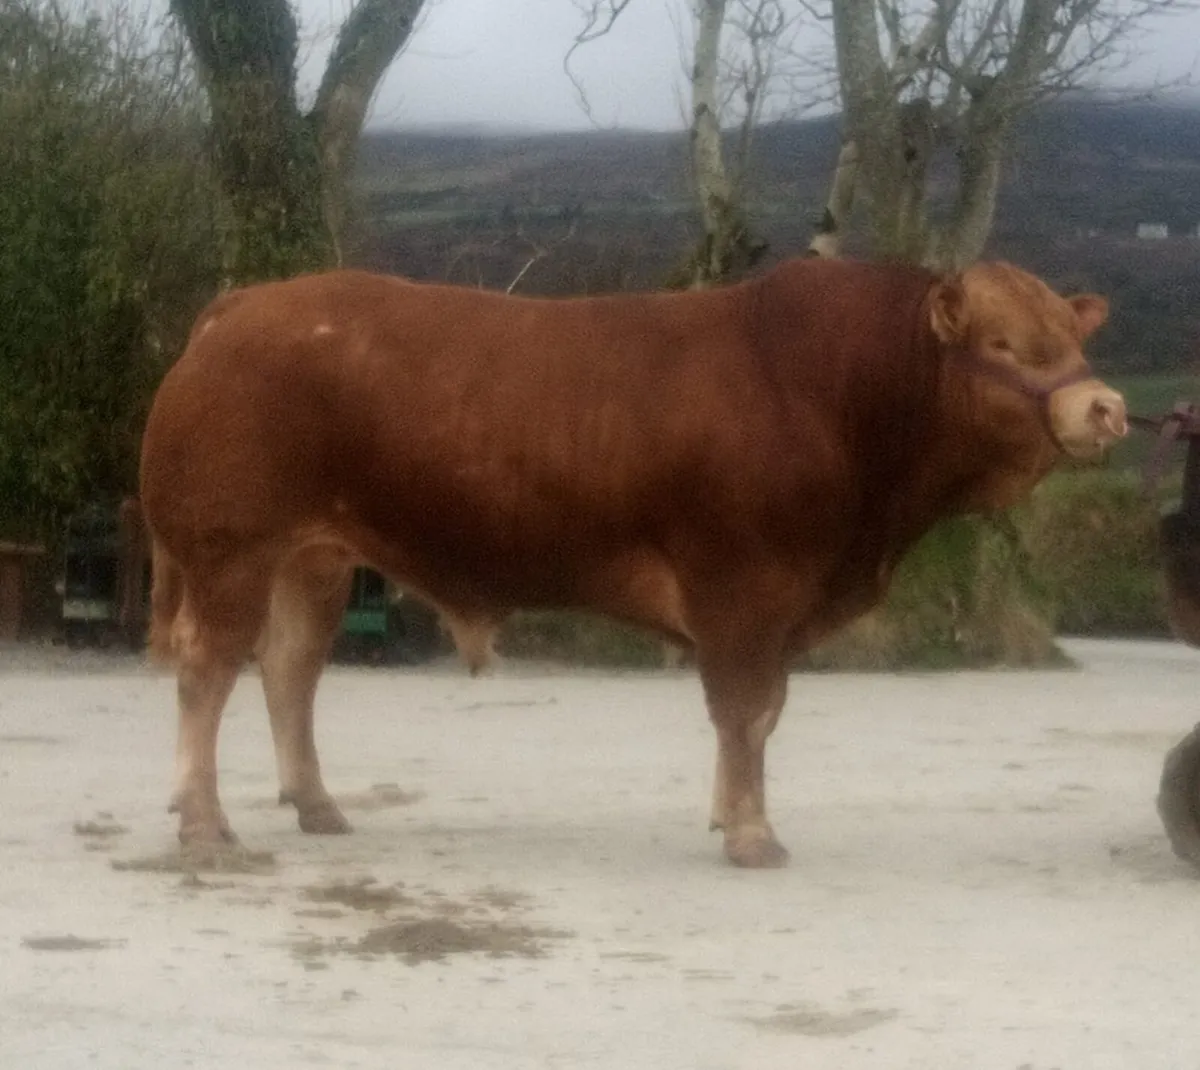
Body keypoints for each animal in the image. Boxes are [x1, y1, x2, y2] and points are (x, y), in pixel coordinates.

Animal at [139, 256, 1127, 868]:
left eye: (1073, 341)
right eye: (1003, 345)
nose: (1105, 406)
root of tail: (245, 304)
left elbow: (758, 715)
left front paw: (730, 814)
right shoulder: (743, 590)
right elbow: (746, 712)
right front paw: (752, 832)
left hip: (314, 558)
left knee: (289, 671)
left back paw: (316, 804)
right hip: (231, 551)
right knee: (208, 670)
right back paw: (204, 822)